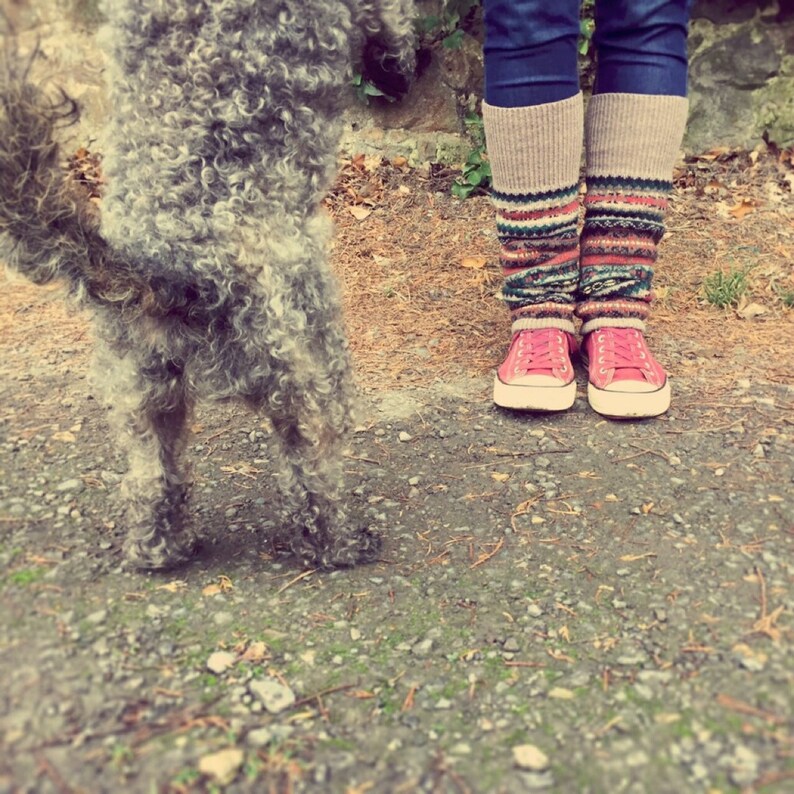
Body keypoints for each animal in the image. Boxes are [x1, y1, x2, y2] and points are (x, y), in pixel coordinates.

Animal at [0, 0, 418, 568]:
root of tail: (164, 272)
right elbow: (395, 21)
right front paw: (397, 66)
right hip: (310, 366)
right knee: (311, 471)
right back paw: (340, 544)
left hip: (143, 393)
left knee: (153, 479)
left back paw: (159, 548)